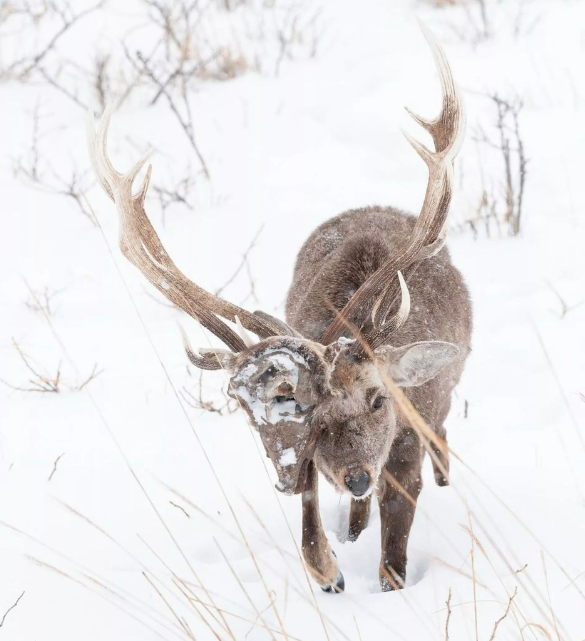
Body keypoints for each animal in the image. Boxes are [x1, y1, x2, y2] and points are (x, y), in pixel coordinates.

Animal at [87, 22, 471, 594]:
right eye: (303, 413)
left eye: (379, 398)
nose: (356, 474)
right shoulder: (307, 456)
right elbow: (312, 532)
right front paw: (332, 571)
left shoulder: (408, 434)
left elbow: (396, 551)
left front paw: (386, 580)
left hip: (440, 408)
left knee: (442, 447)